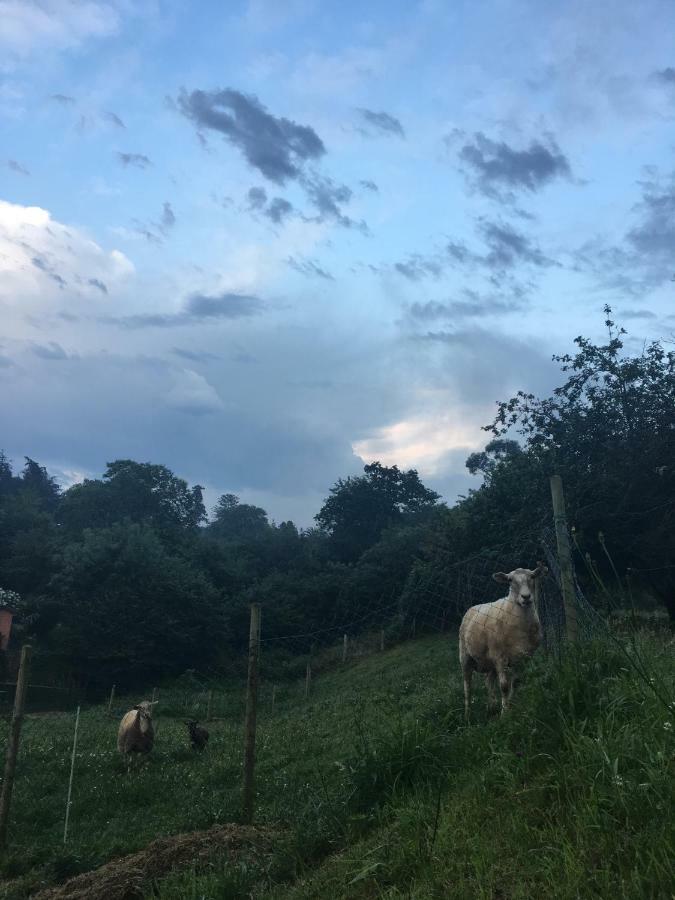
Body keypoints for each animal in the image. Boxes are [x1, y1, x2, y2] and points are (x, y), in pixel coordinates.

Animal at [460, 564, 548, 724]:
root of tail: (472, 608)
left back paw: (491, 705)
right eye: (510, 580)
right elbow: (505, 686)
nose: (526, 597)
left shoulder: (524, 657)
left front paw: (512, 706)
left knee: (488, 681)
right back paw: (467, 714)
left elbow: (517, 682)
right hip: (465, 656)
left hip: (489, 661)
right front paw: (505, 714)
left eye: (532, 576)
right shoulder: (500, 657)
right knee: (467, 686)